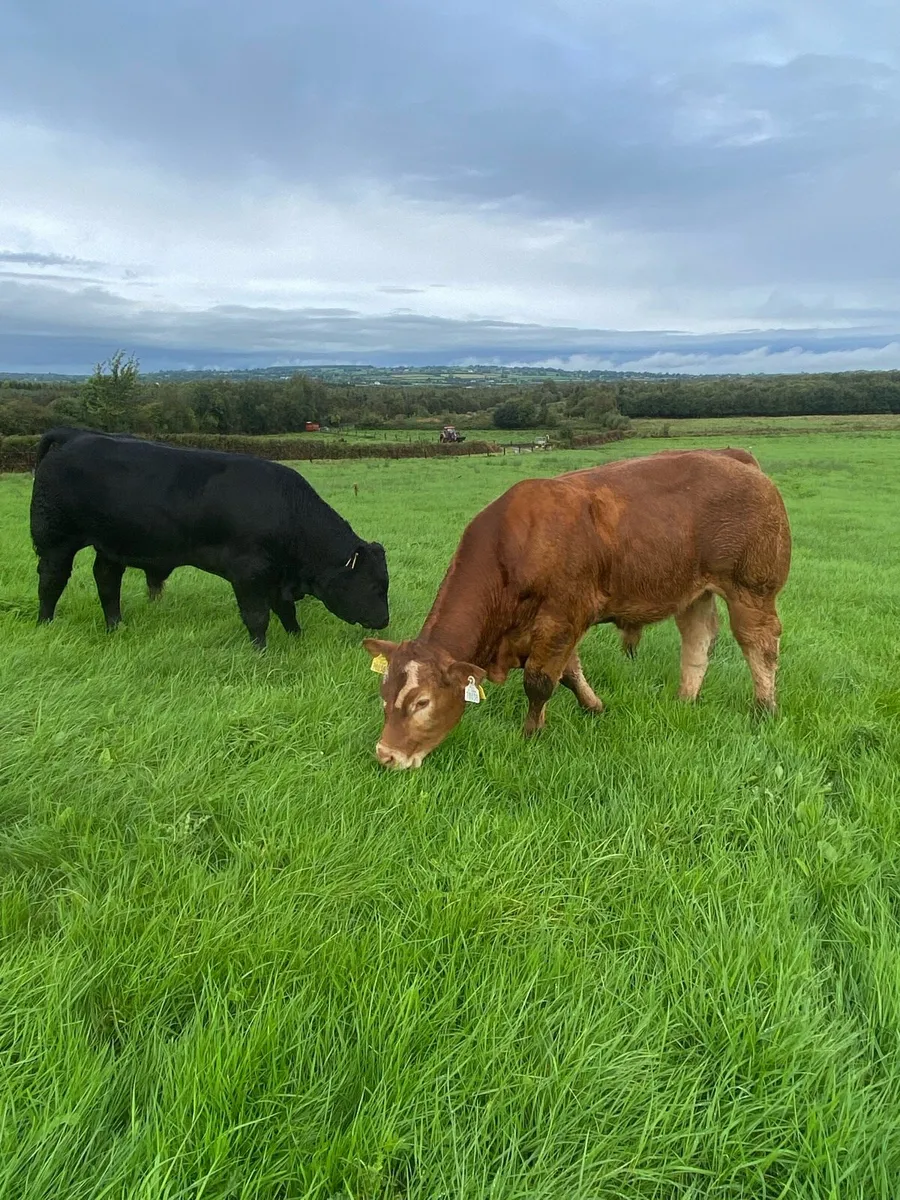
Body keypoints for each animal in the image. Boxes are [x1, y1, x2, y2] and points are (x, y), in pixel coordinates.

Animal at [30, 427, 390, 648]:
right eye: (374, 586)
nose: (384, 621)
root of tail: (75, 435)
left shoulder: (276, 577)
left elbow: (286, 611)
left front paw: (296, 639)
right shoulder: (249, 574)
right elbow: (257, 617)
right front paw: (261, 652)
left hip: (112, 545)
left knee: (106, 581)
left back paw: (116, 626)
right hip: (55, 539)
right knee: (52, 580)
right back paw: (45, 623)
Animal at [363, 447, 791, 769]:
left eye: (421, 702)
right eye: (384, 694)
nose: (386, 755)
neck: (513, 547)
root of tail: (735, 457)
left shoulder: (562, 619)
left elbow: (539, 681)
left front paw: (531, 733)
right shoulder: (551, 629)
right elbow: (569, 673)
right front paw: (594, 706)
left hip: (752, 589)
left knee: (760, 645)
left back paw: (764, 707)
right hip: (694, 591)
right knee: (698, 639)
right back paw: (686, 698)